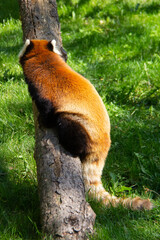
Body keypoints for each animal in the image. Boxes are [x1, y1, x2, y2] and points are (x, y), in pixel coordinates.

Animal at [19, 39, 153, 210]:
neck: (46, 59)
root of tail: (103, 148)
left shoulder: (42, 87)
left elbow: (48, 110)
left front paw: (43, 121)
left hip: (81, 126)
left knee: (65, 123)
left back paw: (72, 147)